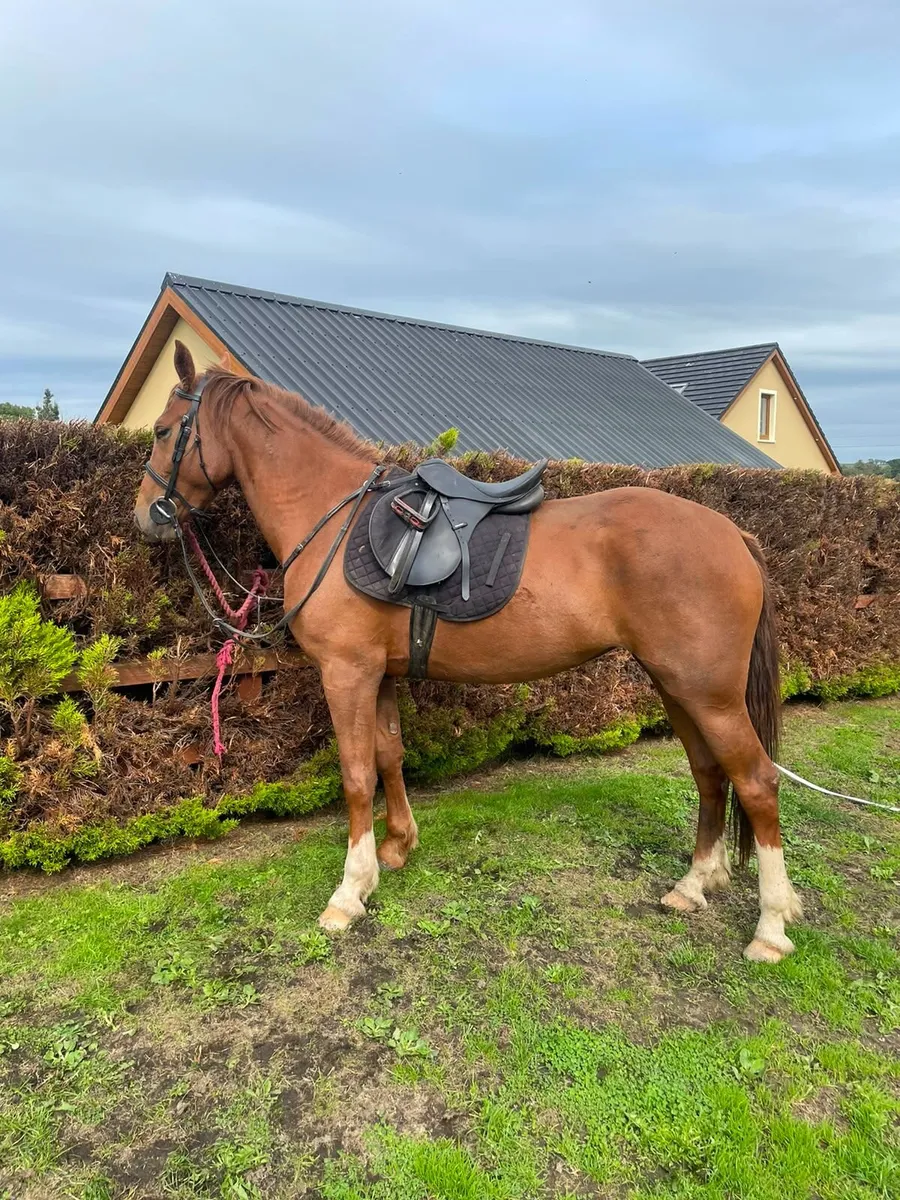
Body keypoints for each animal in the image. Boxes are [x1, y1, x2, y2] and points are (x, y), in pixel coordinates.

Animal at [134, 341, 803, 963]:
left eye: (164, 430)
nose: (146, 515)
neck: (333, 518)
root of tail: (733, 534)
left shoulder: (346, 673)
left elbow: (356, 775)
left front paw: (348, 893)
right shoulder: (378, 674)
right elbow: (389, 756)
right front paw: (396, 848)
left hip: (709, 694)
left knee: (756, 781)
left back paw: (770, 927)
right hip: (676, 687)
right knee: (710, 773)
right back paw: (694, 885)